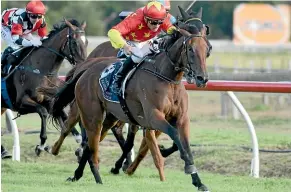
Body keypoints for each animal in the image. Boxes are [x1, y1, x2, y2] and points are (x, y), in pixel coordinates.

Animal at [1, 18, 88, 155]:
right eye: (74, 42)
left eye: (87, 42)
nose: (85, 64)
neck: (41, 71)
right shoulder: (21, 102)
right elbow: (43, 112)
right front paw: (41, 144)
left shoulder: (50, 100)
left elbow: (62, 114)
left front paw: (79, 139)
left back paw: (4, 152)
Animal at [49, 6, 211, 190]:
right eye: (190, 49)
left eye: (207, 49)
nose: (202, 78)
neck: (168, 78)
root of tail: (86, 69)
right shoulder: (154, 117)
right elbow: (175, 136)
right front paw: (187, 167)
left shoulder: (182, 119)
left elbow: (185, 146)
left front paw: (198, 181)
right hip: (92, 116)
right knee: (90, 143)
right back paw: (96, 177)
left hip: (110, 117)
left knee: (91, 145)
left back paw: (77, 174)